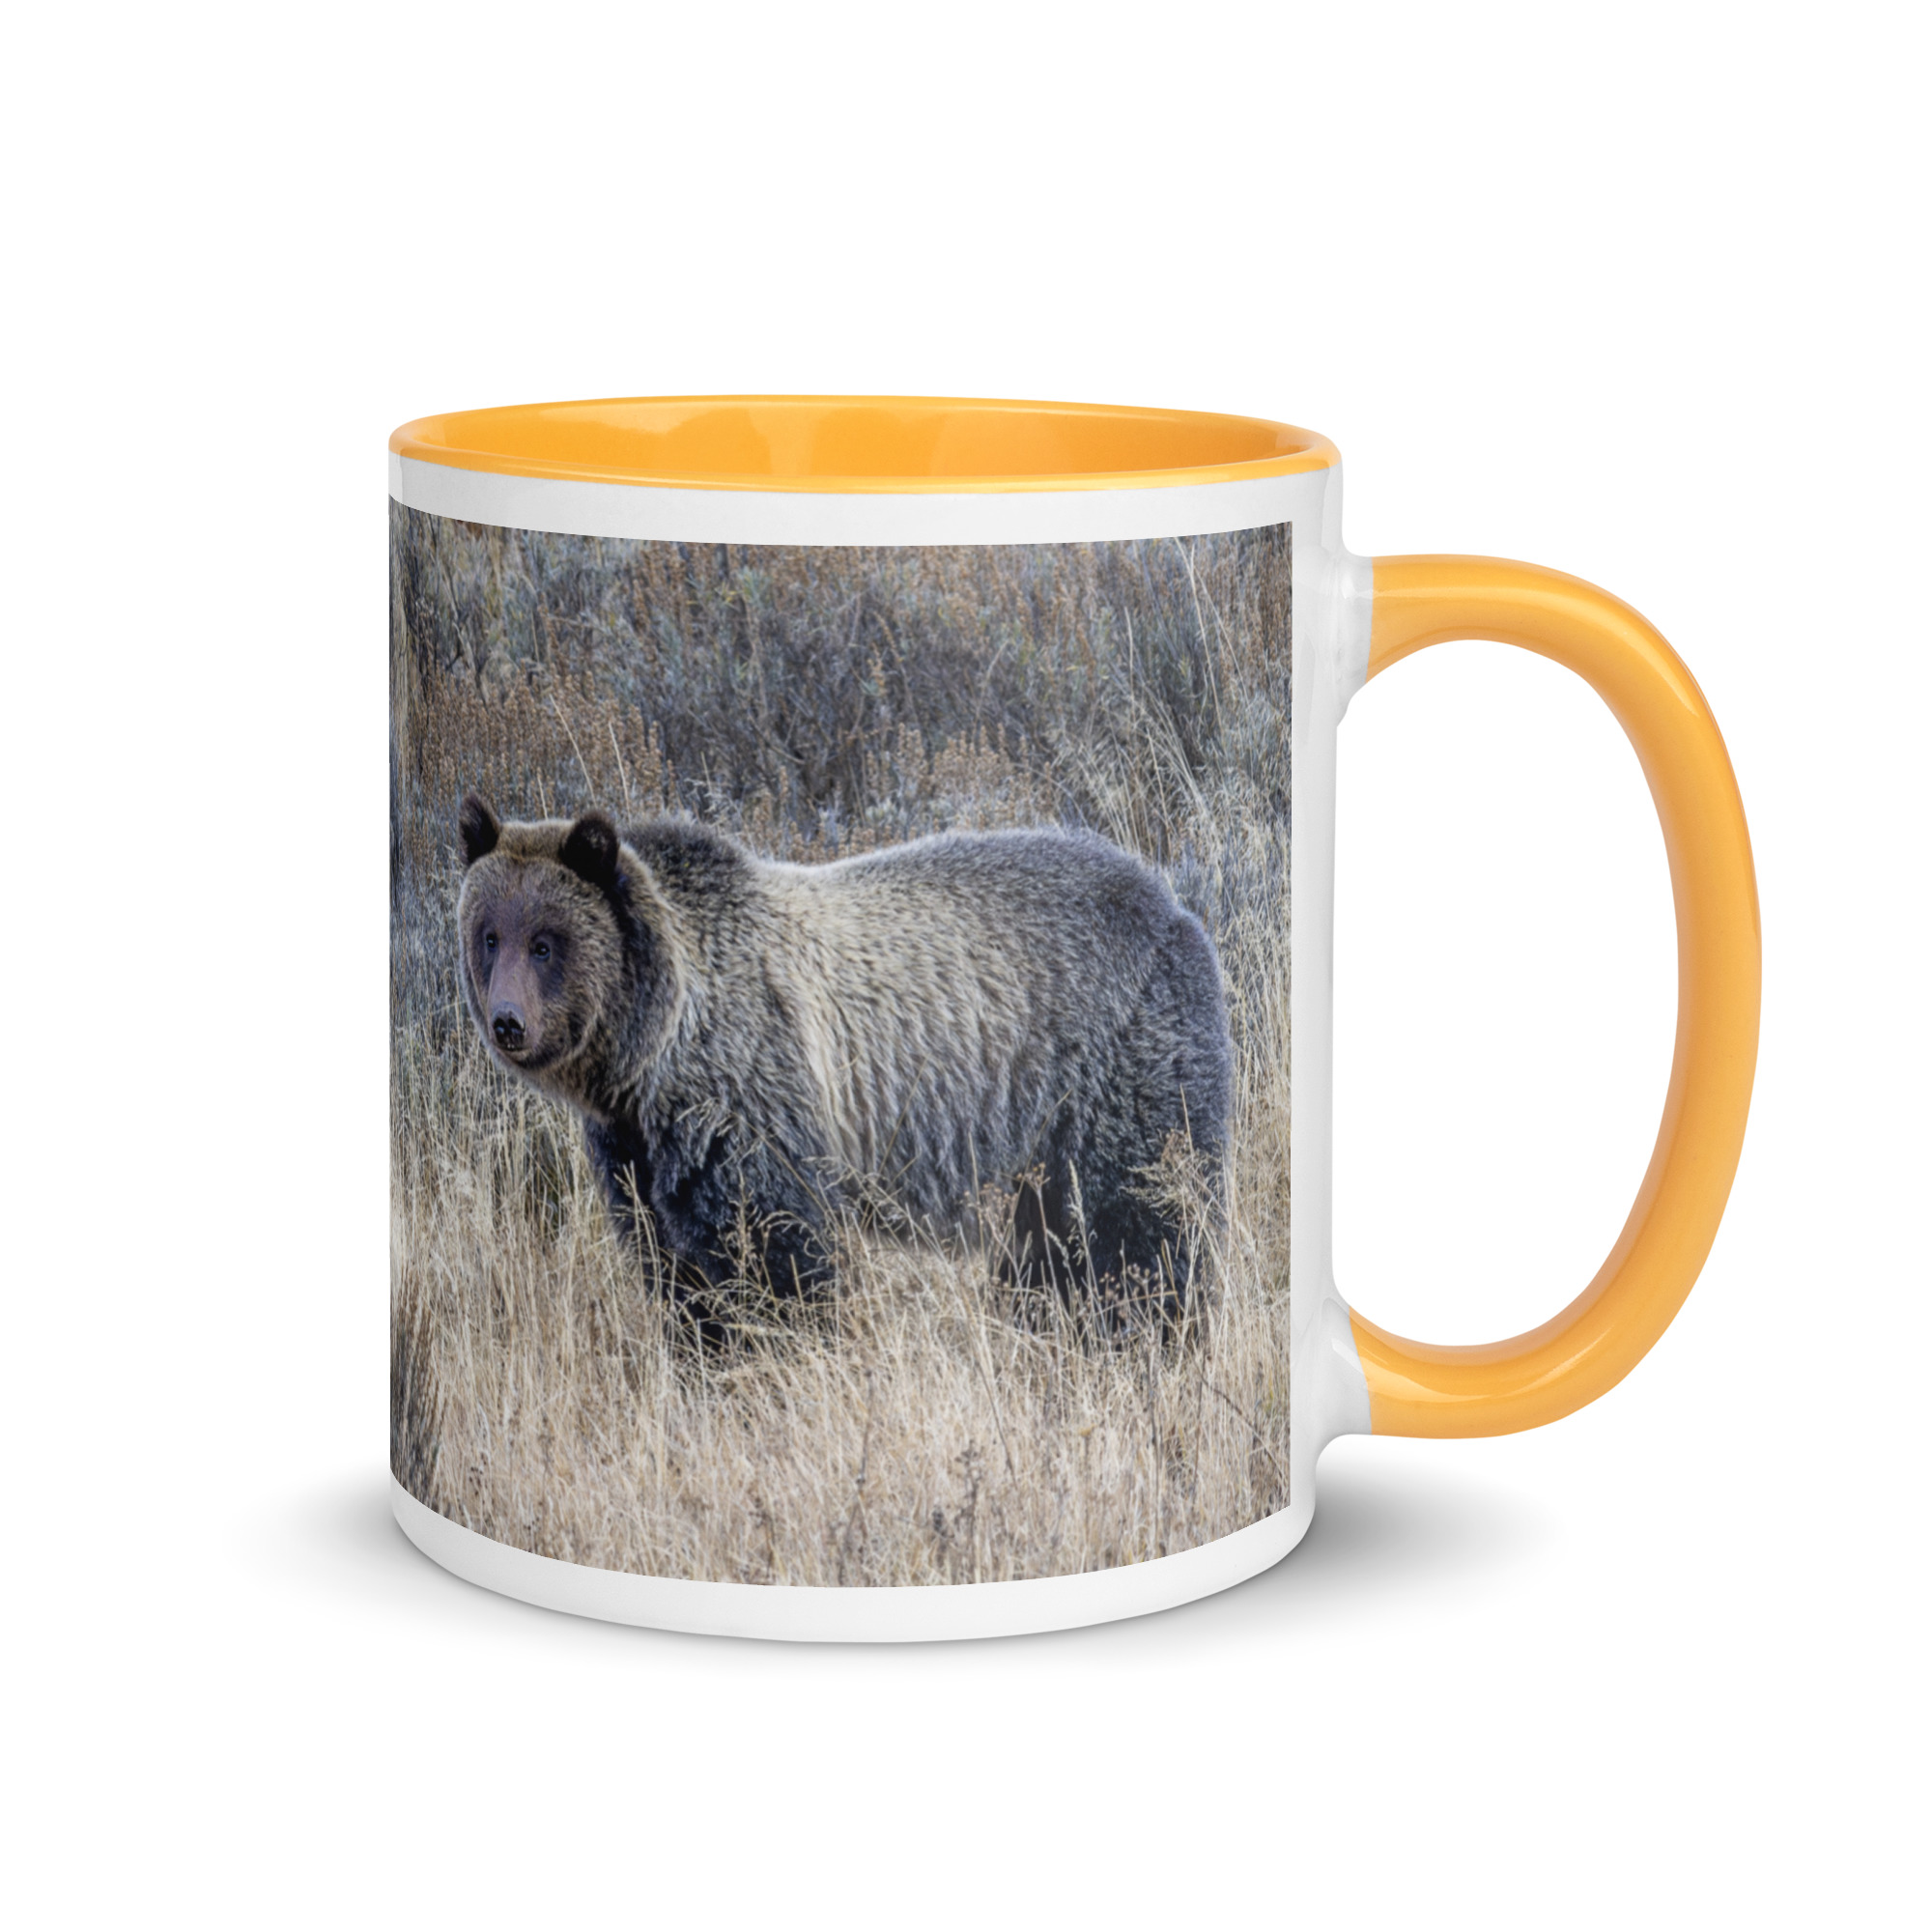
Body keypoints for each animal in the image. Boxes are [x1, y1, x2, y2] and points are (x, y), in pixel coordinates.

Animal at [455, 795, 1232, 1332]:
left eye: (546, 942)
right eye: (489, 935)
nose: (507, 1023)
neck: (654, 1054)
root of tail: (1173, 903)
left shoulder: (749, 1098)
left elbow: (777, 1258)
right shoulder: (636, 1151)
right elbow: (676, 1268)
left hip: (1113, 1070)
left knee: (1141, 1224)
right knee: (1050, 1251)